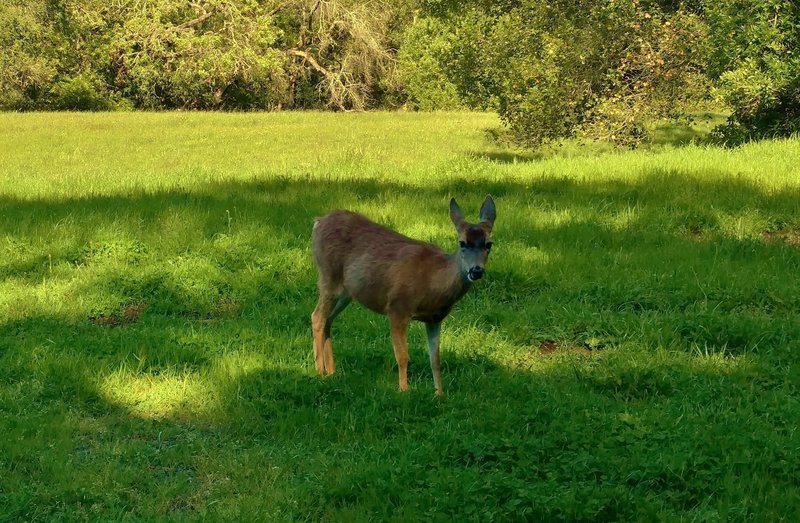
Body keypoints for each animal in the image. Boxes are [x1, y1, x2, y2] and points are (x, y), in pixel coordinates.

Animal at [310, 194, 494, 396]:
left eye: (488, 244)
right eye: (462, 243)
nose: (476, 271)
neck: (433, 282)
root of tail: (318, 222)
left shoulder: (435, 319)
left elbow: (435, 359)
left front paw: (439, 394)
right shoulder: (397, 307)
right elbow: (403, 355)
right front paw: (404, 390)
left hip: (346, 292)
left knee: (328, 320)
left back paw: (332, 372)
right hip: (328, 276)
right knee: (317, 317)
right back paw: (319, 371)